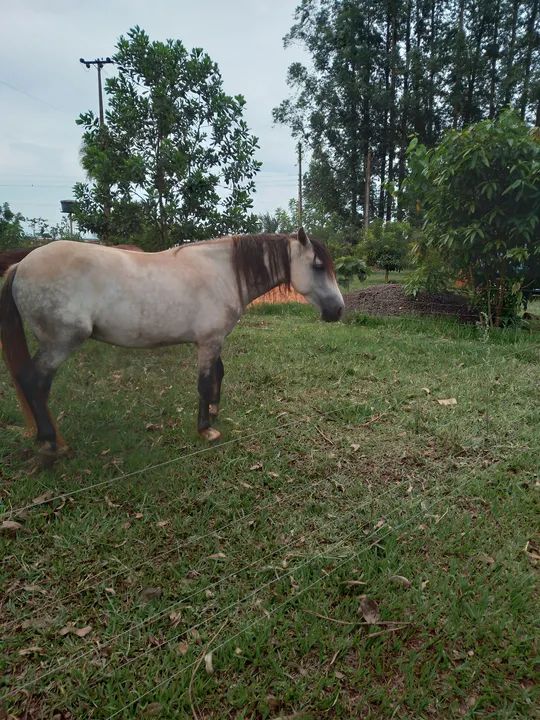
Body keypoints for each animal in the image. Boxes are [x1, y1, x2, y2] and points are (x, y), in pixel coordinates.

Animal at [0, 228, 344, 458]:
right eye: (317, 266)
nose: (338, 310)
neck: (223, 272)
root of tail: (21, 265)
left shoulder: (211, 341)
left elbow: (218, 374)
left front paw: (214, 411)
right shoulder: (208, 341)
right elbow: (205, 382)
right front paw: (206, 428)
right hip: (61, 343)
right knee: (34, 382)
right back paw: (50, 442)